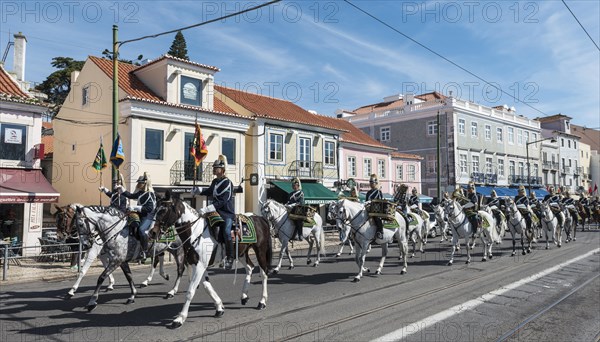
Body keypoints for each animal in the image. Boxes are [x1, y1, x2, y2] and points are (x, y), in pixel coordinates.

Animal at [150, 191, 272, 328]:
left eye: (163, 209)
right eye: (155, 209)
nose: (152, 232)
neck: (195, 232)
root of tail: (260, 218)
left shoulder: (200, 266)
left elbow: (190, 291)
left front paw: (180, 318)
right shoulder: (196, 265)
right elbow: (206, 286)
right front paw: (219, 307)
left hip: (260, 250)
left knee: (264, 273)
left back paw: (262, 301)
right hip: (241, 253)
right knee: (250, 267)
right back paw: (244, 296)